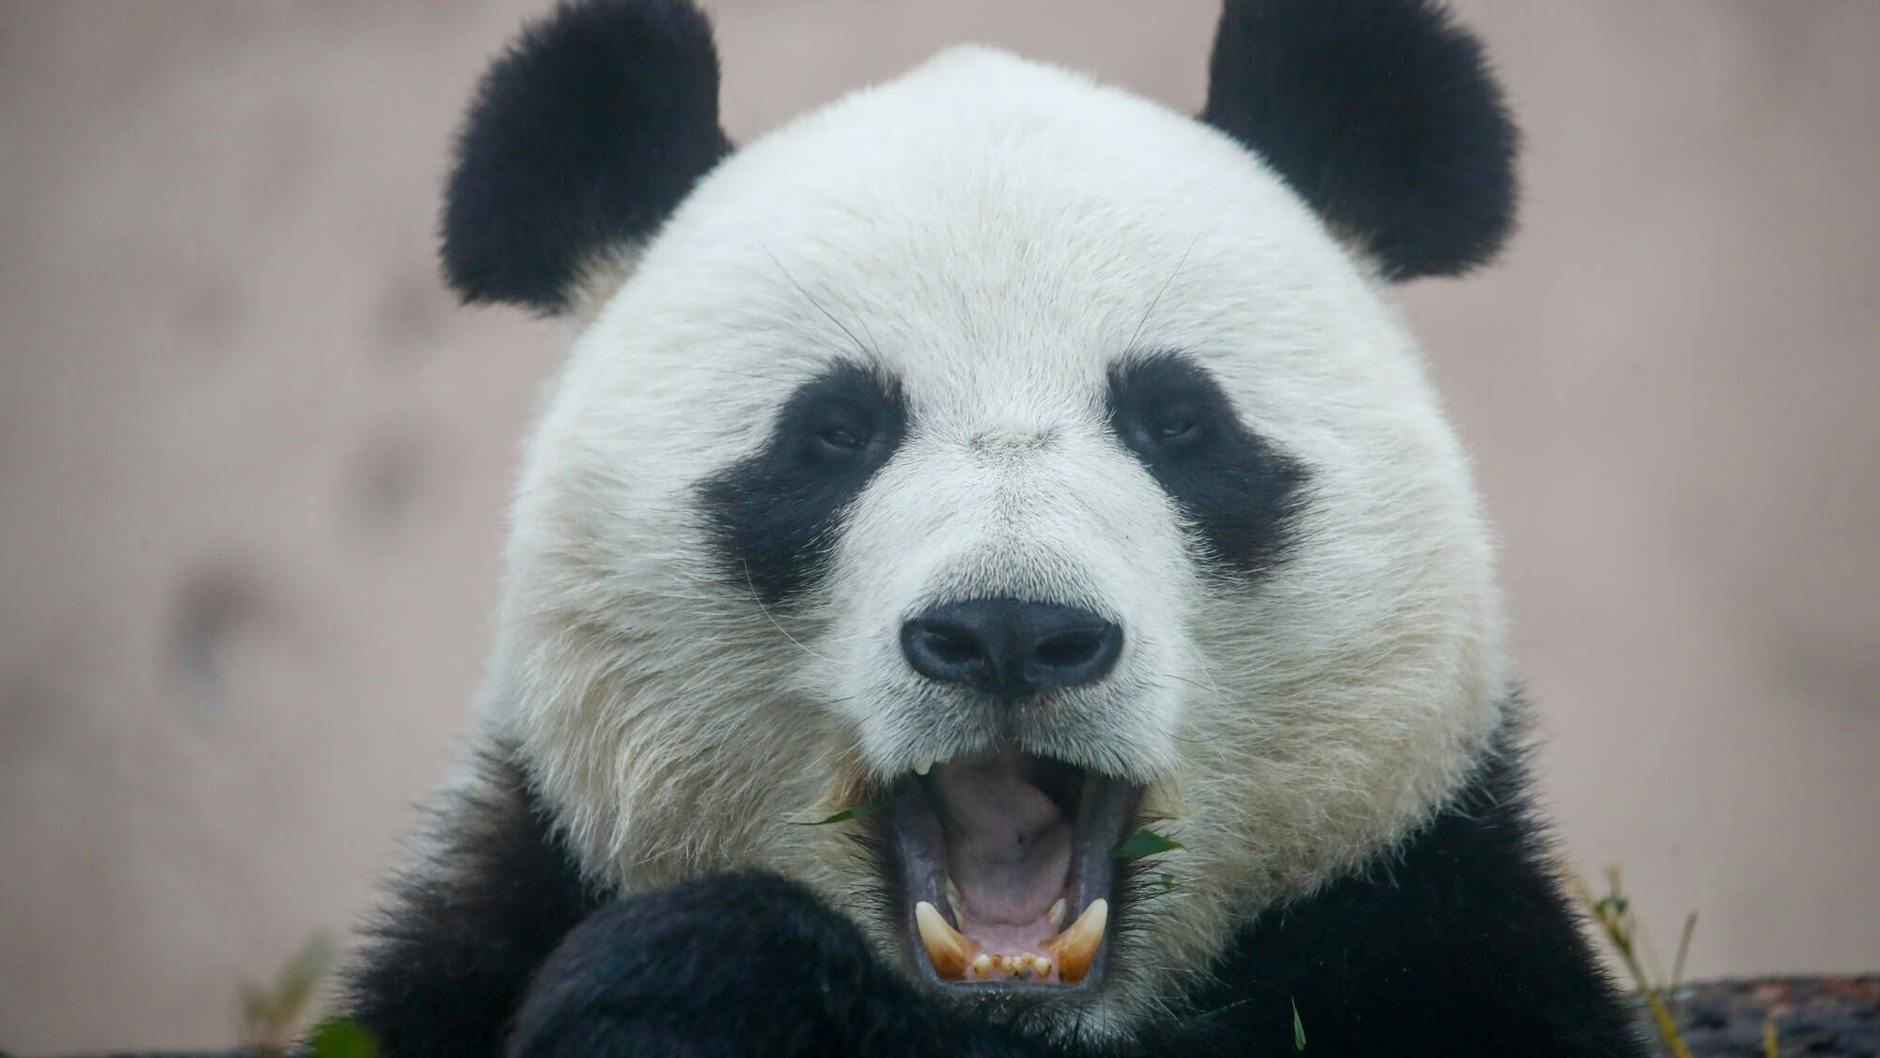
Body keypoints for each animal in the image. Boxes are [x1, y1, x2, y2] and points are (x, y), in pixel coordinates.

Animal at [343, 1, 1649, 1055]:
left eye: (1177, 421)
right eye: (834, 431)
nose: (1010, 630)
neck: (1013, 1018)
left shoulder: (1431, 928)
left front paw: (694, 981)